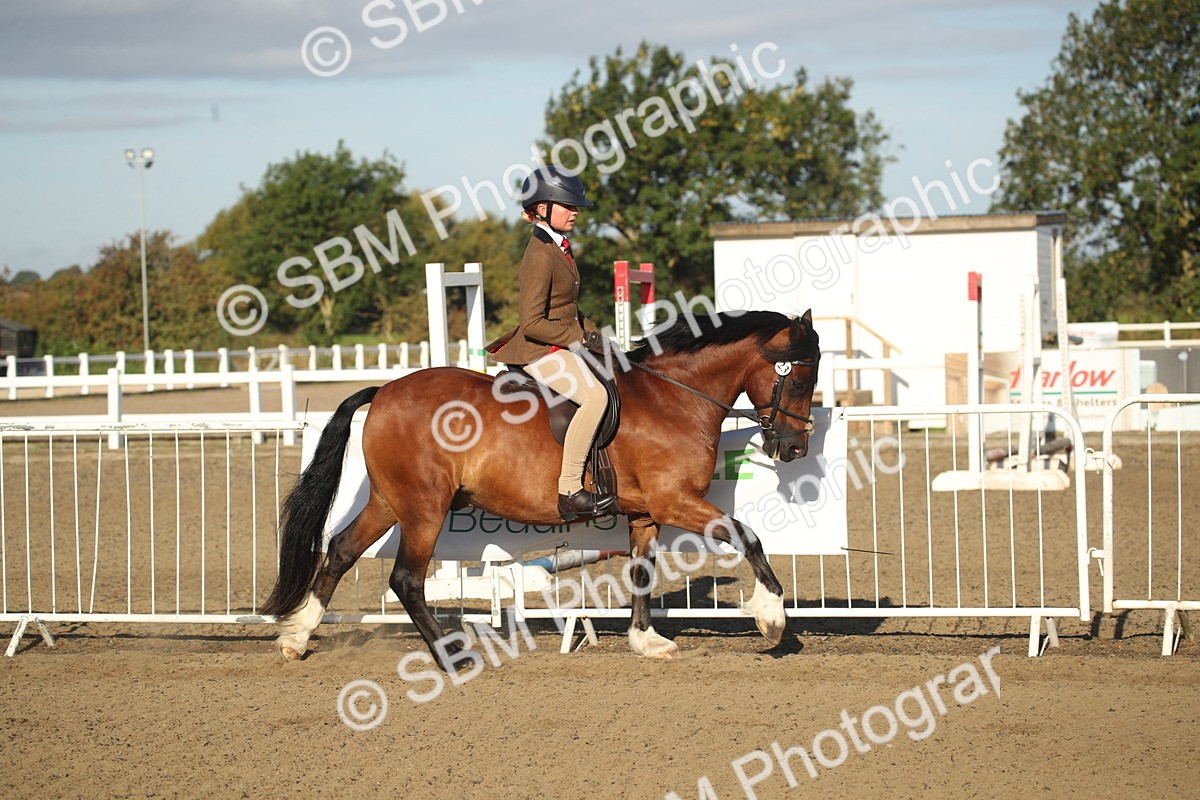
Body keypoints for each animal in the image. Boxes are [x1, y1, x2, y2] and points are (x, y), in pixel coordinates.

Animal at [261, 309, 820, 667]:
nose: (794, 448)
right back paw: (452, 656)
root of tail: (385, 390)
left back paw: (297, 638)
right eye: (798, 379)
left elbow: (641, 572)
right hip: (423, 509)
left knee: (339, 551)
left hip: (388, 501)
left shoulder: (646, 513)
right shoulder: (674, 501)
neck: (673, 398)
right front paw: (772, 619)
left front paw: (646, 641)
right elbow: (748, 536)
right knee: (406, 579)